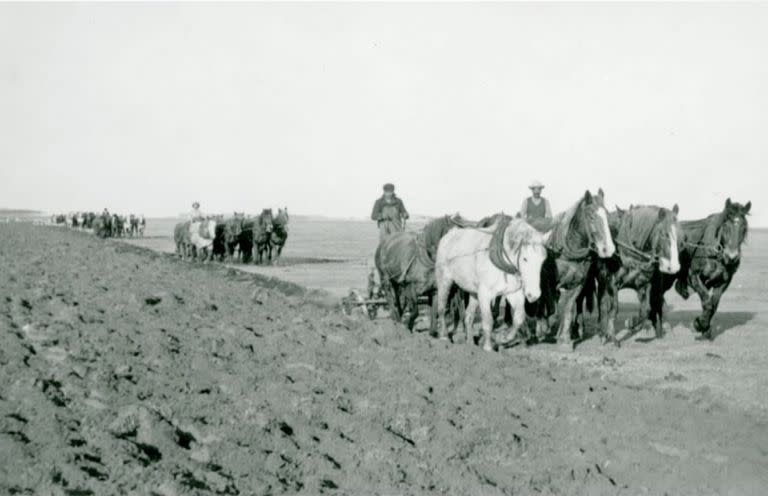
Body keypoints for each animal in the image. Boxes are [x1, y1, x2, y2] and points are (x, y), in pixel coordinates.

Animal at [436, 218, 548, 352]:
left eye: (543, 260)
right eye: (525, 259)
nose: (534, 295)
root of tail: (448, 235)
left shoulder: (512, 292)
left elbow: (519, 318)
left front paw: (504, 339)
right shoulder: (485, 294)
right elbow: (488, 321)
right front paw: (488, 348)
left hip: (474, 292)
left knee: (469, 316)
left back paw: (470, 344)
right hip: (444, 281)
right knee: (442, 309)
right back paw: (444, 336)